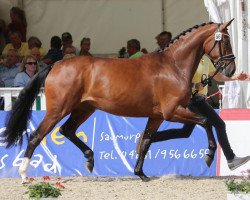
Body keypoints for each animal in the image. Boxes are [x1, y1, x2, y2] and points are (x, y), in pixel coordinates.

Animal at [3, 19, 234, 182]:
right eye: (225, 40)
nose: (231, 69)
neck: (172, 66)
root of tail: (56, 64)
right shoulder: (172, 111)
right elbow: (206, 121)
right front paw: (209, 155)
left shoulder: (158, 116)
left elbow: (147, 140)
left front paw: (140, 173)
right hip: (58, 110)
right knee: (36, 136)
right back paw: (24, 175)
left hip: (84, 109)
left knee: (67, 130)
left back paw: (89, 159)